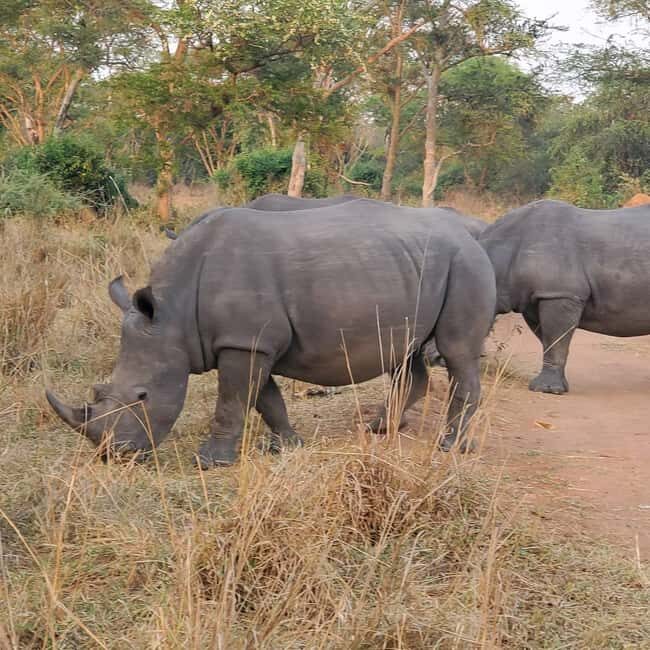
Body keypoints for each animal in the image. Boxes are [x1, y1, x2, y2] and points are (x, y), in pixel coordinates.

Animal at [47, 199, 495, 467]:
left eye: (142, 396)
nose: (114, 454)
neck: (172, 312)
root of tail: (473, 236)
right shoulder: (249, 341)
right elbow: (265, 398)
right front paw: (288, 445)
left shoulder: (244, 341)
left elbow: (232, 402)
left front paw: (209, 463)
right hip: (415, 268)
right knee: (408, 355)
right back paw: (380, 429)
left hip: (466, 266)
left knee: (457, 352)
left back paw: (449, 446)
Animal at [479, 199, 650, 394]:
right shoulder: (535, 299)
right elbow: (548, 341)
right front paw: (557, 387)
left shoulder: (560, 294)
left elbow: (555, 340)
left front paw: (546, 390)